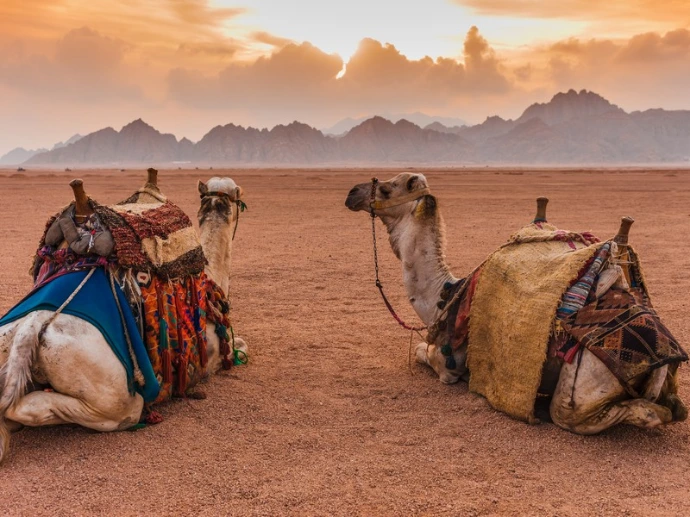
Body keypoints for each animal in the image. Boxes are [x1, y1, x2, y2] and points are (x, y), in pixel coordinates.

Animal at [345, 172, 687, 434]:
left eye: (388, 187)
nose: (352, 192)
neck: (444, 294)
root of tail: (665, 356)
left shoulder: (446, 364)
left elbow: (421, 352)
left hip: (581, 388)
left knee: (622, 413)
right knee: (672, 406)